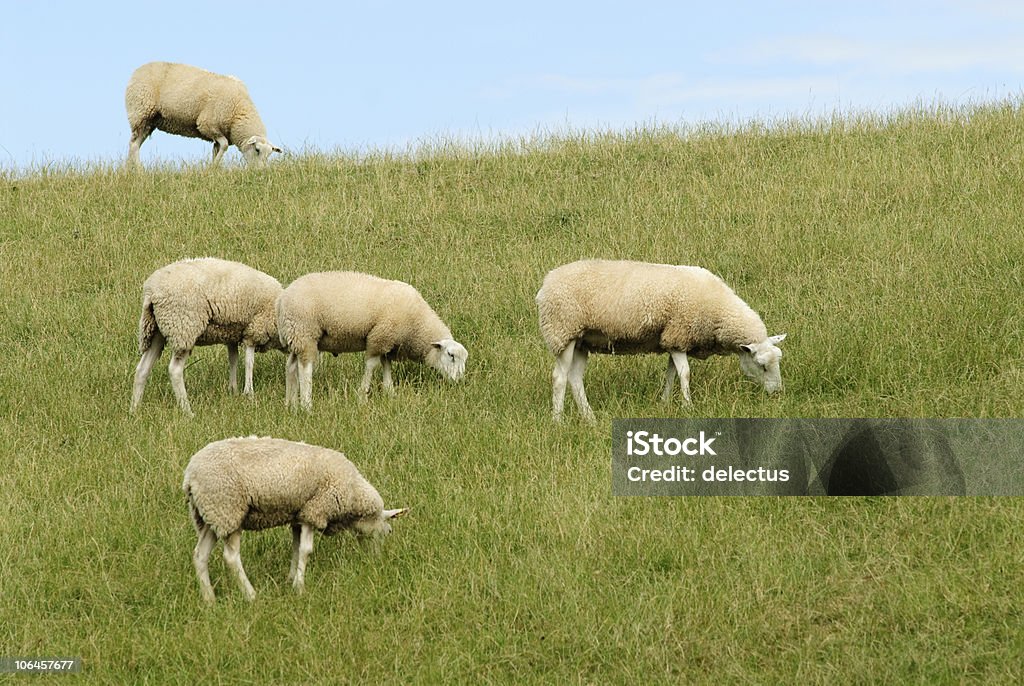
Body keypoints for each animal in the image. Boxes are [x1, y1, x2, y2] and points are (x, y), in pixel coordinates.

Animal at [125, 62, 282, 168]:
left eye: (269, 154)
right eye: (257, 150)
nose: (259, 172)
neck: (238, 111)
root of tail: (137, 71)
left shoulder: (217, 133)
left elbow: (217, 150)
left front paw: (213, 169)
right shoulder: (207, 125)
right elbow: (224, 145)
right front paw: (212, 168)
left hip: (149, 121)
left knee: (135, 144)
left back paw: (129, 171)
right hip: (141, 113)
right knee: (133, 144)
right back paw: (138, 171)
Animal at [132, 259, 286, 415]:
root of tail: (151, 291)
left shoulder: (231, 335)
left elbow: (233, 359)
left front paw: (233, 390)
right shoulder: (254, 331)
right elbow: (249, 362)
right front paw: (249, 393)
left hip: (154, 330)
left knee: (142, 369)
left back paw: (135, 409)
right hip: (183, 328)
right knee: (174, 370)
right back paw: (188, 411)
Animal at [184, 438, 407, 606]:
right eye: (387, 533)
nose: (376, 562)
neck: (353, 493)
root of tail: (190, 475)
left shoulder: (298, 517)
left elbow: (296, 548)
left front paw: (291, 579)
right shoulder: (314, 511)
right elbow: (306, 550)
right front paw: (300, 587)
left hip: (209, 517)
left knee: (200, 555)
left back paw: (209, 599)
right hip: (228, 509)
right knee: (231, 558)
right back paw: (251, 595)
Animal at [276, 272, 468, 411]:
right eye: (450, 355)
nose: (459, 380)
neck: (417, 323)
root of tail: (282, 300)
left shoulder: (388, 342)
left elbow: (386, 365)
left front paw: (390, 392)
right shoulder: (379, 337)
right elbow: (371, 365)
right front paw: (362, 396)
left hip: (295, 337)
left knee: (290, 367)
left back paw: (290, 404)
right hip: (305, 333)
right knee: (305, 370)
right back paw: (306, 405)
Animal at [532, 259, 786, 421]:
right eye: (762, 366)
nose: (778, 394)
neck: (718, 312)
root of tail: (546, 282)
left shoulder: (672, 340)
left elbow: (671, 373)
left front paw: (665, 403)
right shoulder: (679, 333)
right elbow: (685, 374)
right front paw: (688, 406)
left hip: (582, 341)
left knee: (575, 378)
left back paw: (589, 417)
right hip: (562, 332)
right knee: (559, 378)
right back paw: (558, 420)